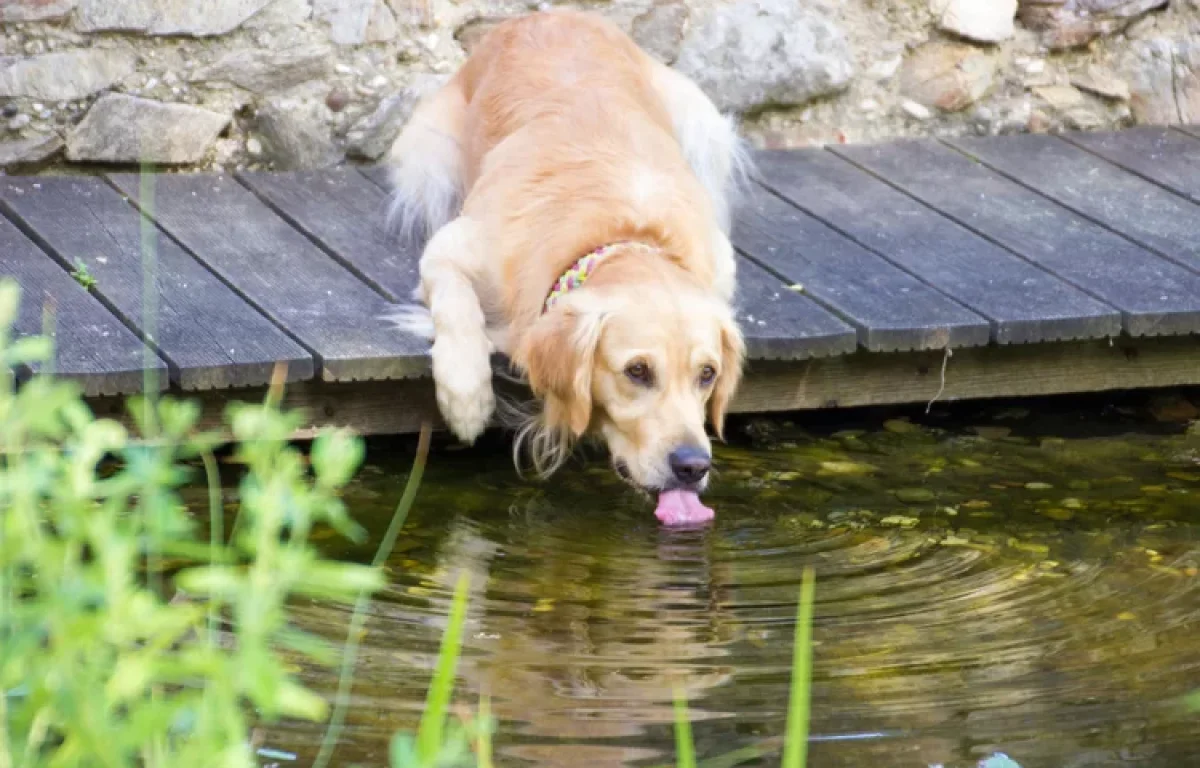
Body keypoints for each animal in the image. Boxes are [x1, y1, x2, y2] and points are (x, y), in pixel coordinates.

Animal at [384, 10, 744, 523]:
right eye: (637, 371)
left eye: (708, 374)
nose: (693, 465)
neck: (622, 236)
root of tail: (546, 13)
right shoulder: (453, 245)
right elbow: (457, 307)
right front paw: (466, 399)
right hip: (426, 156)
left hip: (703, 121)